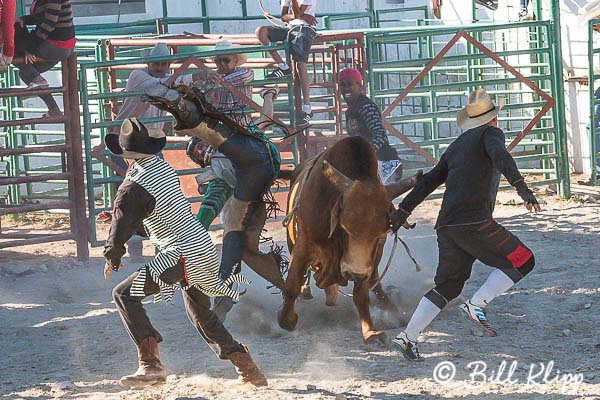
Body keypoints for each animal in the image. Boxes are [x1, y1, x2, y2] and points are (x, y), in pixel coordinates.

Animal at [278, 137, 420, 344]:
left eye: (380, 233)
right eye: (345, 227)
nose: (355, 273)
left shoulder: (372, 256)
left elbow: (361, 294)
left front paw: (370, 331)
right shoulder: (304, 242)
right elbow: (292, 283)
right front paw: (287, 320)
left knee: (375, 280)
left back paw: (388, 306)